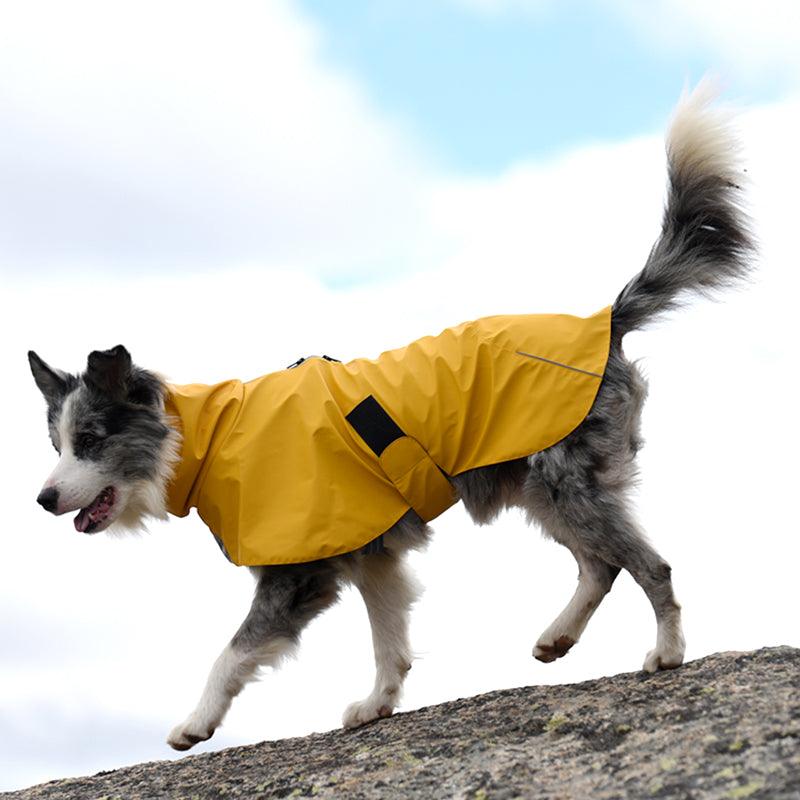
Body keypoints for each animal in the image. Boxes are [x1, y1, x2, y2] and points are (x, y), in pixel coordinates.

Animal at [26, 84, 752, 752]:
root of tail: (604, 321)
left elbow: (232, 652)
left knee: (649, 566)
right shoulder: (372, 556)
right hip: (539, 487)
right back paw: (557, 638)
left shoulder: (299, 575)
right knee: (599, 567)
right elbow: (389, 638)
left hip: (565, 483)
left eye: (89, 439)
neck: (205, 436)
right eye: (57, 444)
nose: (42, 499)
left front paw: (195, 723)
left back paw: (667, 652)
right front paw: (378, 702)